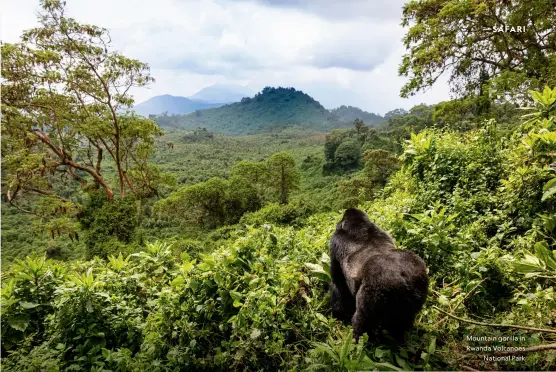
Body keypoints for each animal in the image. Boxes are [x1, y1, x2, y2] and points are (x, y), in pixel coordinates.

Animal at [330, 208, 430, 342]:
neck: (359, 225)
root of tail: (403, 278)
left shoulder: (335, 241)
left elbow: (338, 282)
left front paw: (338, 313)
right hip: (419, 282)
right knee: (403, 321)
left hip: (375, 290)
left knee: (362, 319)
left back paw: (357, 339)